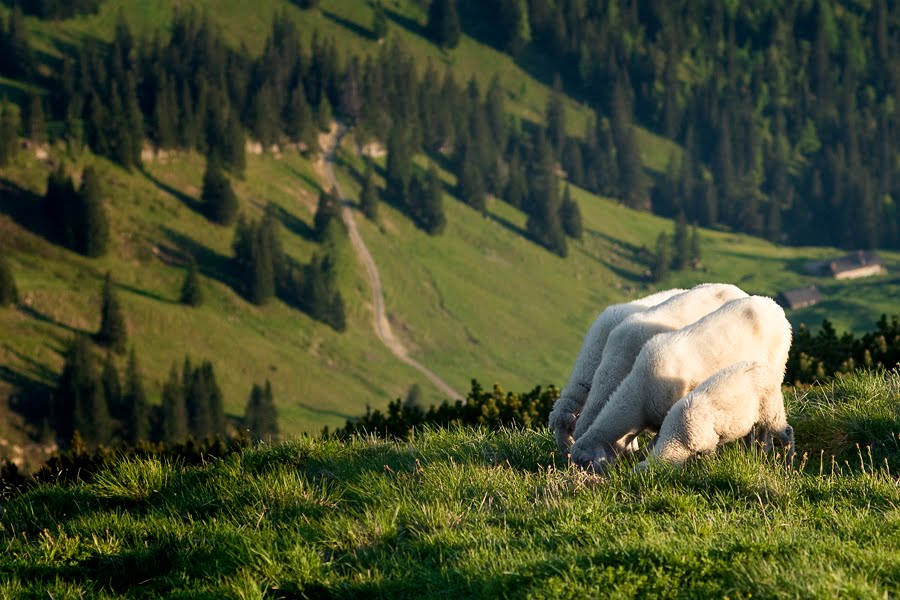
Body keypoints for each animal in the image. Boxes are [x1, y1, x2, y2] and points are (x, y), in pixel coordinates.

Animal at [632, 360, 796, 468]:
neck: (676, 436)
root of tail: (765, 366)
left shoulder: (709, 442)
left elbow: (708, 459)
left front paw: (706, 470)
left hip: (772, 408)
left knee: (787, 431)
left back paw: (788, 460)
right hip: (761, 415)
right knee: (763, 437)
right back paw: (760, 455)